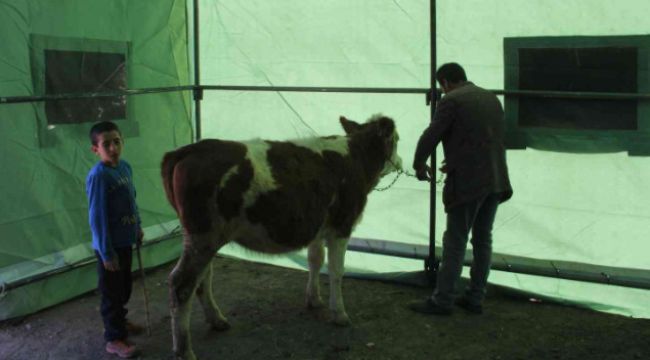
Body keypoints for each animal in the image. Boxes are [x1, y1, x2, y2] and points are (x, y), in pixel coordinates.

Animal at [159, 114, 400, 358]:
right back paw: (184, 350)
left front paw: (314, 299)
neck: (355, 157)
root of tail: (189, 149)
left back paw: (217, 320)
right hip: (203, 236)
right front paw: (339, 313)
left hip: (203, 238)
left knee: (203, 277)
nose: (400, 162)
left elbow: (315, 260)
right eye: (396, 139)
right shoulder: (342, 225)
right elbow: (336, 271)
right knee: (181, 285)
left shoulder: (317, 226)